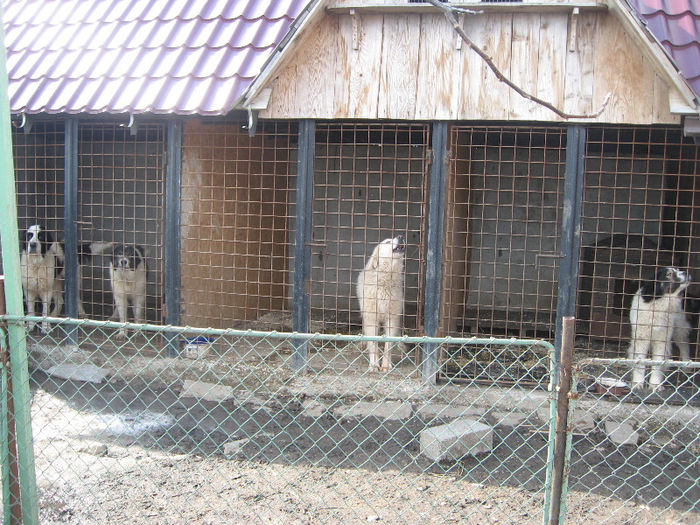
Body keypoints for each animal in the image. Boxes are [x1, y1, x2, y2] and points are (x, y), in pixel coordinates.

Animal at [356, 235, 406, 371]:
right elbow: (373, 344)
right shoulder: (371, 318)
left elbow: (388, 345)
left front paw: (385, 366)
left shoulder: (392, 319)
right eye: (387, 242)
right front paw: (374, 365)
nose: (400, 236)